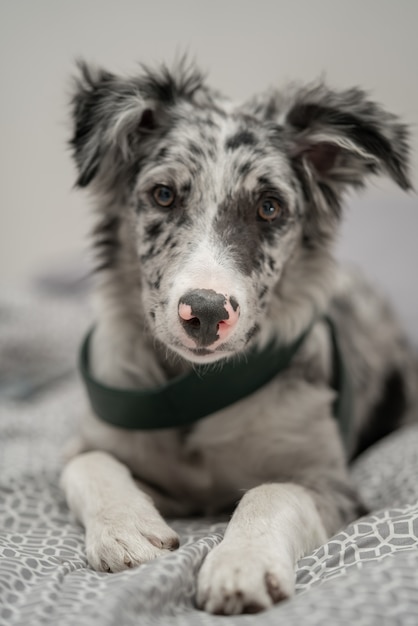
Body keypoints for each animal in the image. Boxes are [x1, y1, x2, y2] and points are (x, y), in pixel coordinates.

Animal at [60, 61, 416, 612]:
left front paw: (240, 564)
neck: (195, 387)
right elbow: (88, 463)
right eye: (163, 195)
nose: (206, 313)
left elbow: (270, 491)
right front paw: (126, 530)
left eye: (269, 207)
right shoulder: (97, 440)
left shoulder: (331, 484)